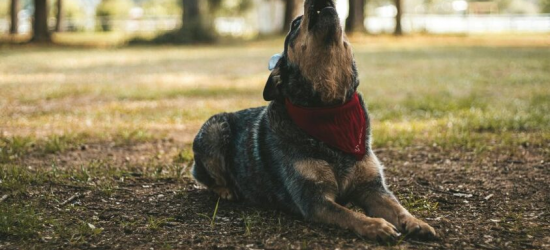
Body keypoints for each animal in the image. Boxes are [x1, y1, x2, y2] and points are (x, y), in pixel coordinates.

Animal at [192, 0, 438, 241]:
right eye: (295, 24)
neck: (330, 109)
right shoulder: (313, 199)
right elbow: (349, 214)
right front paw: (376, 225)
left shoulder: (372, 187)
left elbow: (397, 207)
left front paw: (416, 222)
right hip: (214, 129)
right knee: (205, 177)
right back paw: (226, 189)